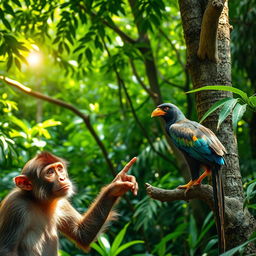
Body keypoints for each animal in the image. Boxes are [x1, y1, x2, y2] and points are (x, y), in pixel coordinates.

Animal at [0, 152, 138, 256]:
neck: (39, 202)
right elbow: (6, 250)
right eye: (50, 172)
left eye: (59, 169)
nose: (62, 178)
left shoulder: (61, 203)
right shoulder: (16, 206)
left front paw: (116, 186)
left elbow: (82, 234)